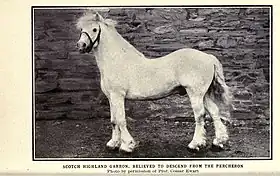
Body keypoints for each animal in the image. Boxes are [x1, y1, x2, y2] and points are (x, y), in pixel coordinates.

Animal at [75, 12, 231, 153]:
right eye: (82, 29)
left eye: (94, 29)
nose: (81, 45)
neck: (117, 59)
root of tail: (209, 57)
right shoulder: (111, 97)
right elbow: (113, 121)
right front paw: (113, 144)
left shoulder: (118, 95)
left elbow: (121, 120)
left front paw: (127, 146)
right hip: (204, 94)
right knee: (214, 112)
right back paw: (218, 143)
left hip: (195, 94)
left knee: (200, 115)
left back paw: (194, 145)